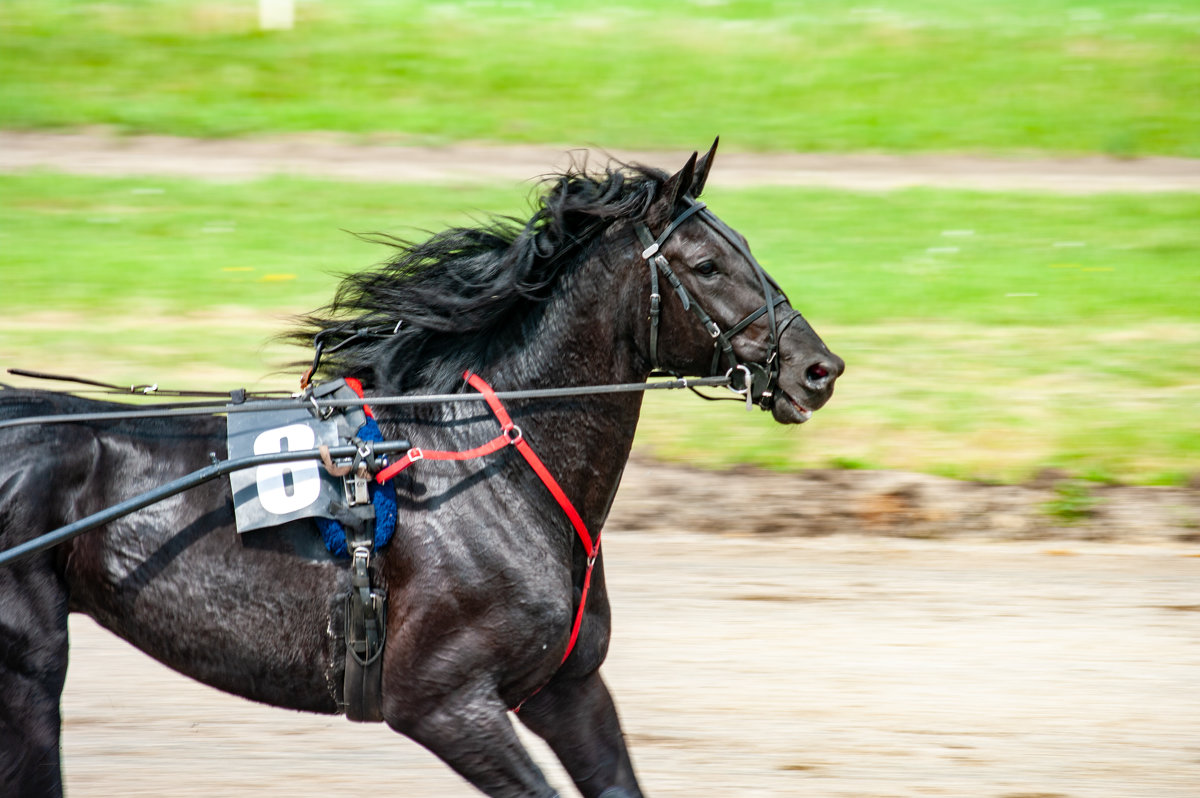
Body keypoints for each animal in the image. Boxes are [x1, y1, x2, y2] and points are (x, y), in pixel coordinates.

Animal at [0, 144, 844, 796]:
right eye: (707, 264)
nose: (818, 370)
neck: (497, 470)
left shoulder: (567, 687)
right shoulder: (442, 702)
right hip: (30, 664)